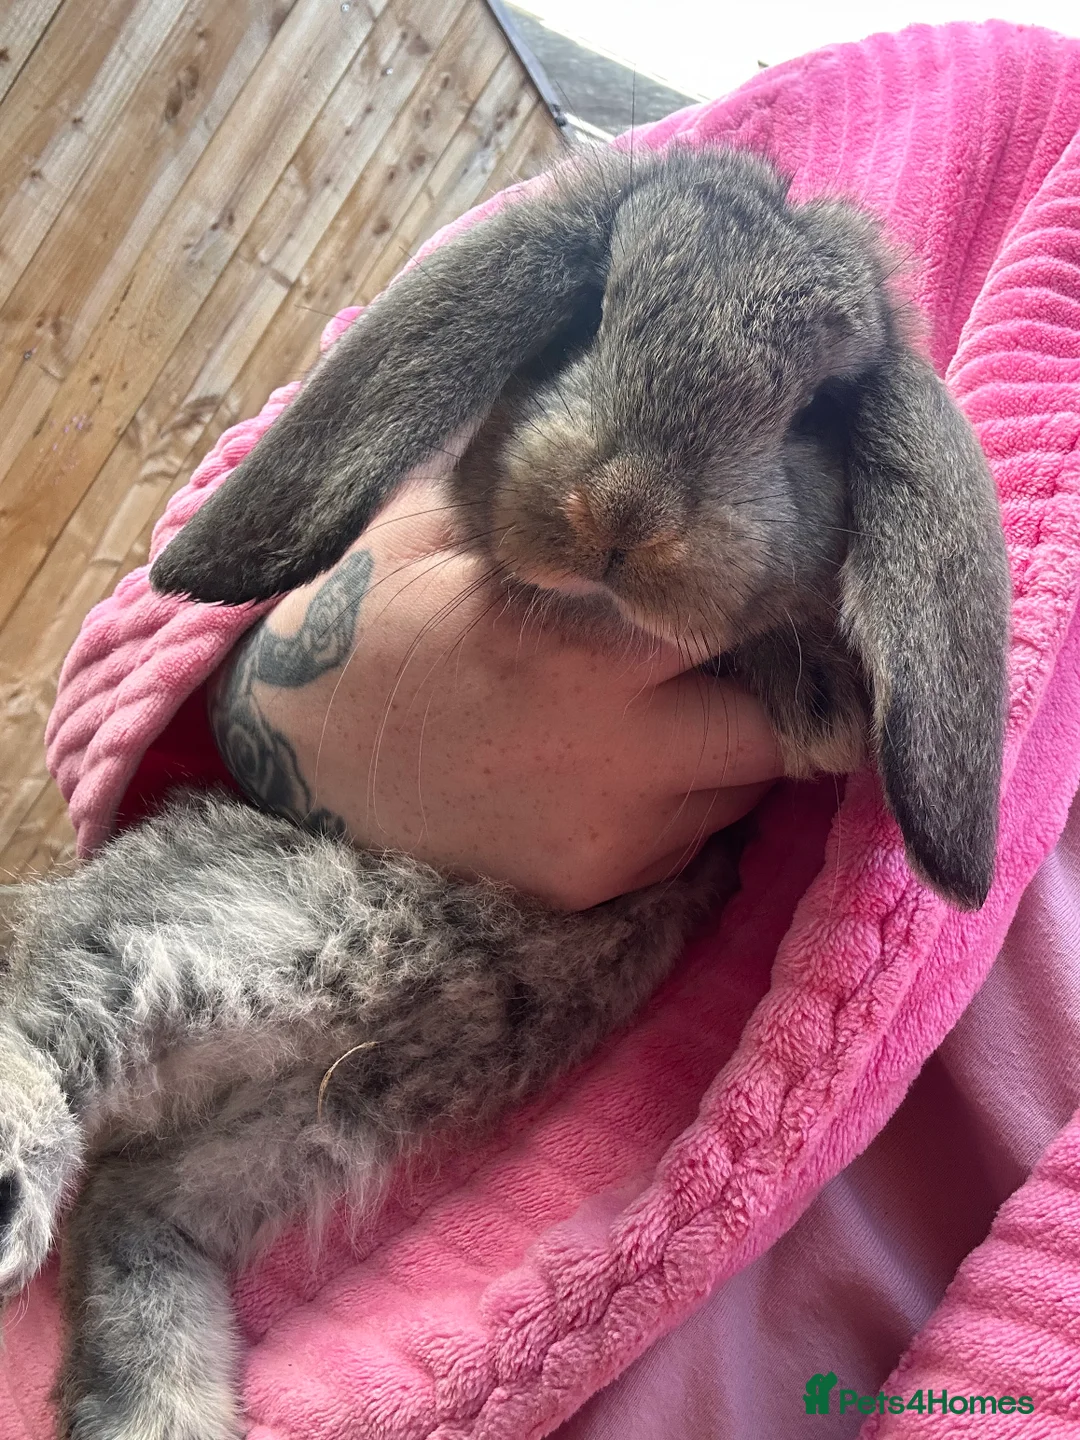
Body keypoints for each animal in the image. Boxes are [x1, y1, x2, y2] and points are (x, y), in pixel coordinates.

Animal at [0, 140, 1009, 1440]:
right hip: (188, 944)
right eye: (590, 316)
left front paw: (831, 690)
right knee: (40, 1018)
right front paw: (828, 704)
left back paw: (162, 1409)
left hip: (278, 1140)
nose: (620, 512)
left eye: (813, 413)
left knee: (126, 1210)